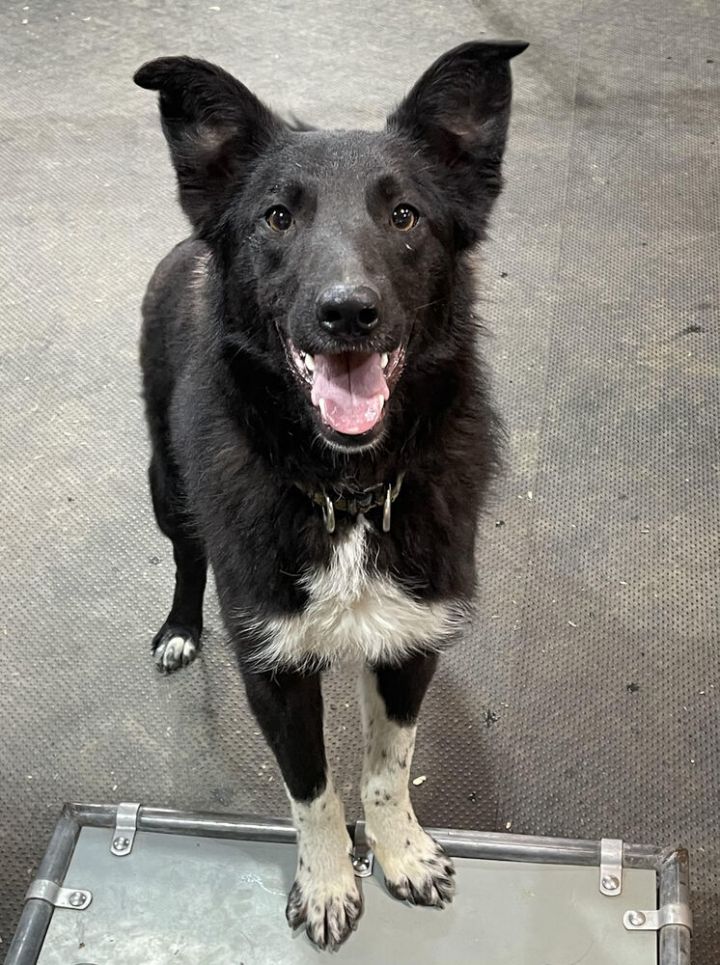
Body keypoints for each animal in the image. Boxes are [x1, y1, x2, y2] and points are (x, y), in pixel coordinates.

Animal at [135, 37, 524, 948]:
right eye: (277, 217)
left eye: (406, 215)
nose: (348, 311)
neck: (345, 489)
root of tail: (184, 245)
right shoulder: (273, 669)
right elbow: (311, 790)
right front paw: (325, 883)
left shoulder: (411, 642)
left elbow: (387, 768)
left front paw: (400, 852)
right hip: (167, 485)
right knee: (188, 557)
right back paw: (179, 628)